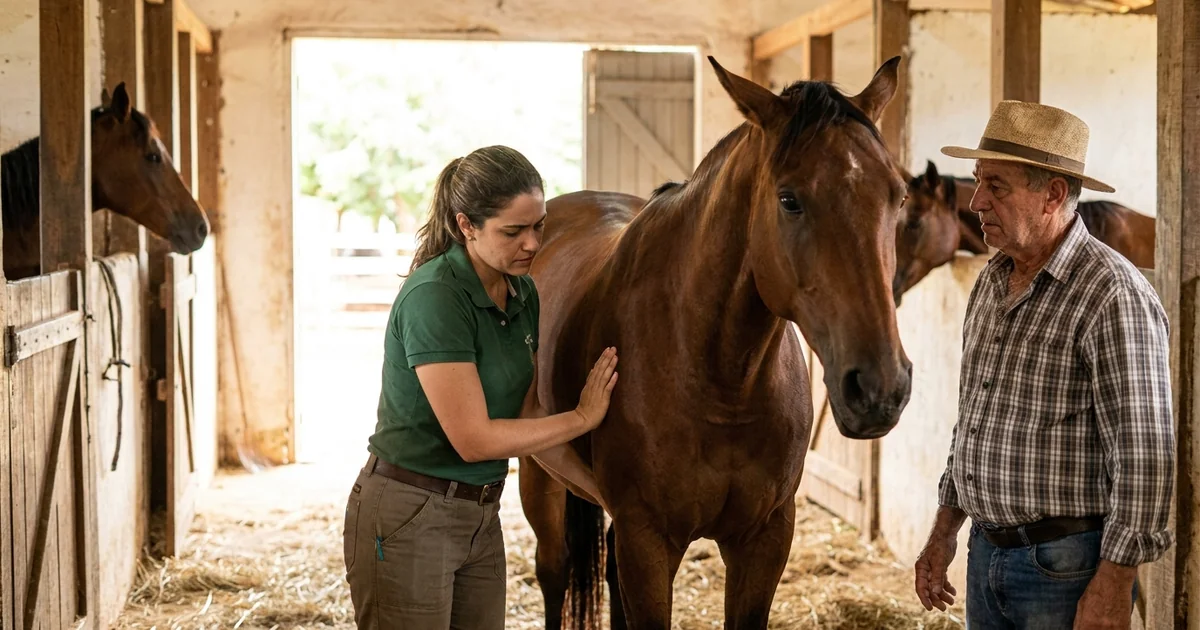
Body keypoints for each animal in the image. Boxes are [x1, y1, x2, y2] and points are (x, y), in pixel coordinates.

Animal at [518, 56, 913, 630]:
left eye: (898, 195)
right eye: (789, 199)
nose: (880, 388)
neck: (723, 384)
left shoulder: (765, 537)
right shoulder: (647, 540)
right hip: (538, 475)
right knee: (554, 570)